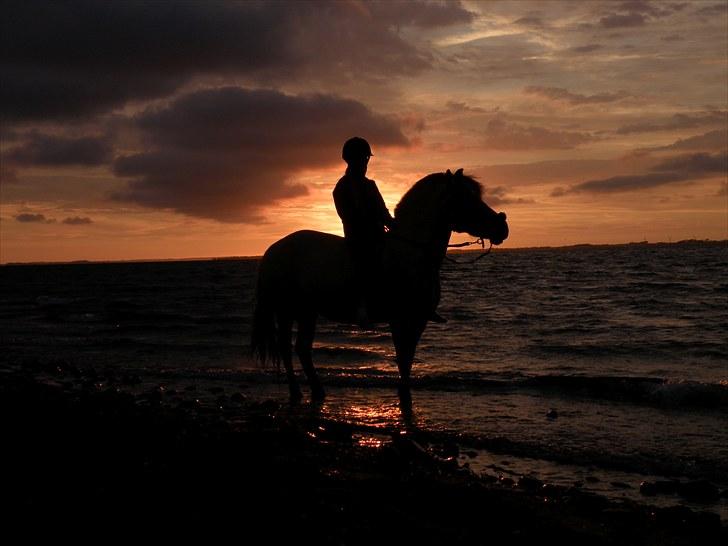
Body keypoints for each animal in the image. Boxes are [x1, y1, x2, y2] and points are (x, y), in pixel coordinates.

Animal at [253, 168, 510, 402]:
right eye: (465, 198)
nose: (502, 226)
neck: (411, 254)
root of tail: (272, 251)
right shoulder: (399, 318)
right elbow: (403, 358)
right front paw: (404, 399)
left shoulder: (419, 320)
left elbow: (408, 358)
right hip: (286, 311)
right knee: (287, 348)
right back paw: (297, 392)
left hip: (308, 312)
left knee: (302, 349)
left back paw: (317, 391)